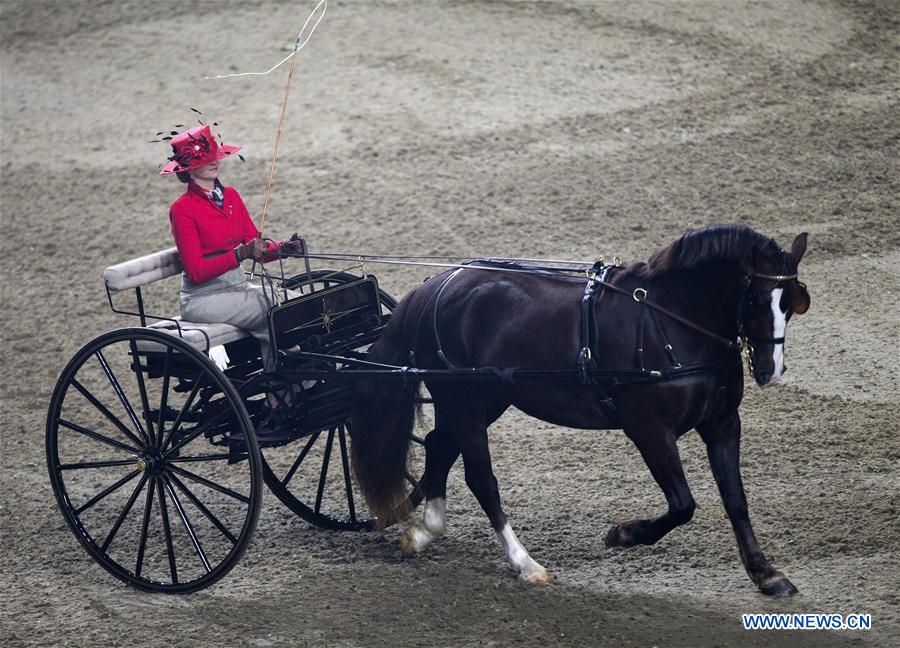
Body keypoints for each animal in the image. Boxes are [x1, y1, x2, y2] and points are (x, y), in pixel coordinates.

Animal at [349, 224, 810, 596]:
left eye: (790, 301)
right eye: (753, 296)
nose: (770, 370)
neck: (673, 321)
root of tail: (437, 283)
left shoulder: (723, 423)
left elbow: (736, 499)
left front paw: (766, 574)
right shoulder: (649, 429)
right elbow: (683, 504)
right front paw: (623, 534)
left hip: (477, 400)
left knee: (438, 445)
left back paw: (424, 532)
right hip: (466, 401)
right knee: (481, 479)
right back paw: (524, 563)